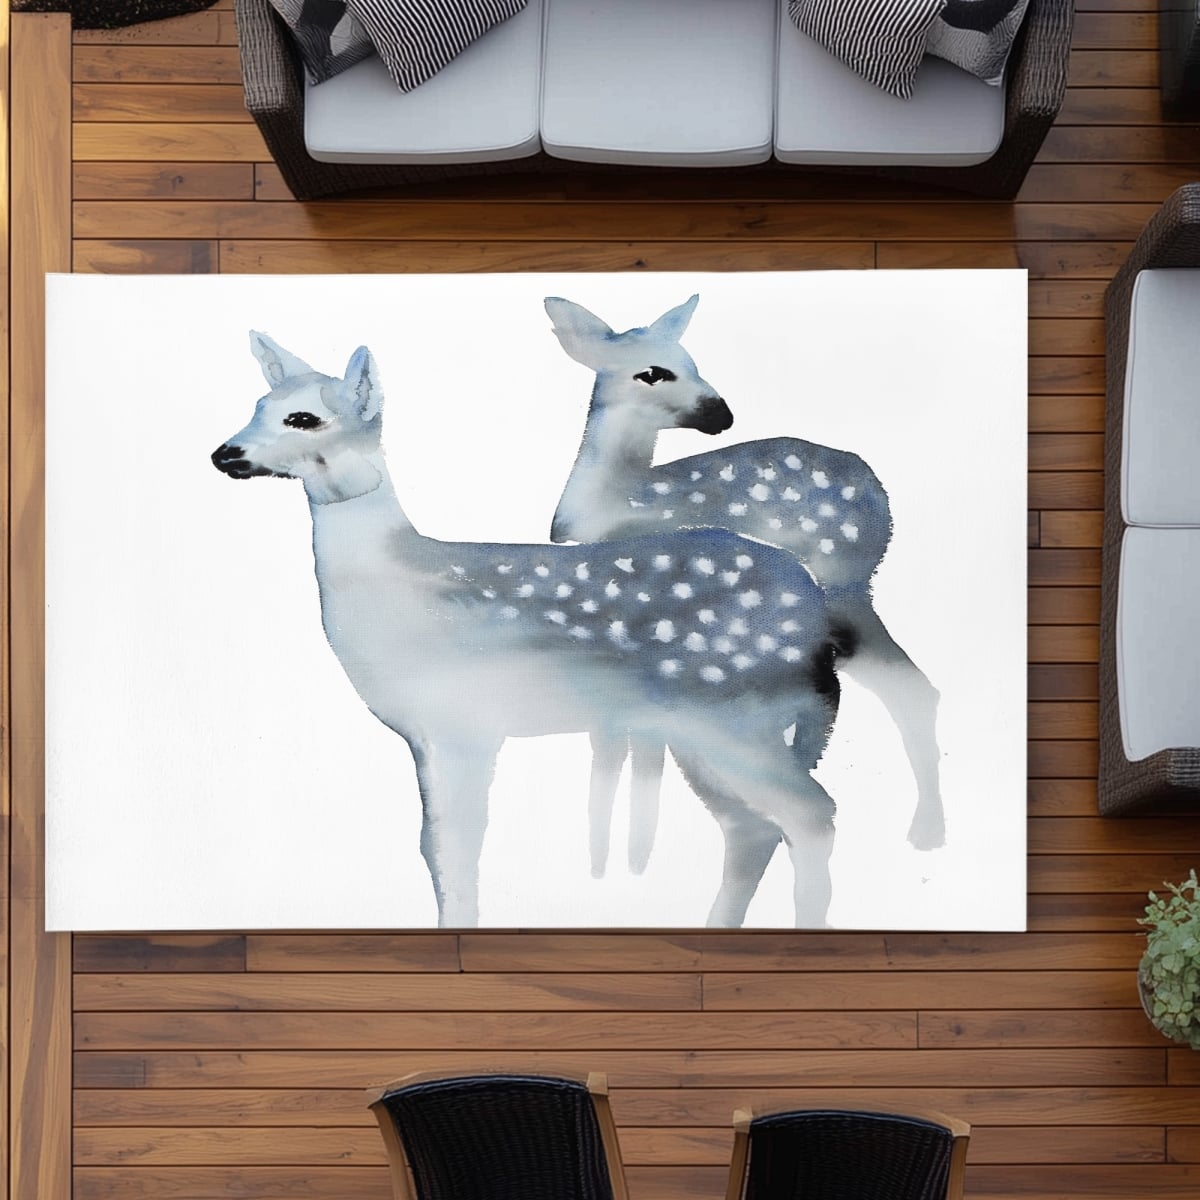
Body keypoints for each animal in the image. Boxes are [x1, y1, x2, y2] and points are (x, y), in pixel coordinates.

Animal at [211, 332, 849, 929]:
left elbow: (456, 847)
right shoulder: (425, 737)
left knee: (811, 813)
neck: (398, 585)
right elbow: (433, 849)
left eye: (303, 417)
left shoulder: (466, 722)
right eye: (259, 403)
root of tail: (815, 616)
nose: (224, 453)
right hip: (704, 730)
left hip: (735, 716)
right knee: (752, 827)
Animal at [544, 294, 944, 877]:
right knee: (912, 689)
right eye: (654, 372)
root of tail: (880, 498)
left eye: (691, 360)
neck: (612, 501)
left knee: (906, 690)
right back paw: (925, 834)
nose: (722, 413)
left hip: (839, 592)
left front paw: (630, 860)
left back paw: (924, 831)